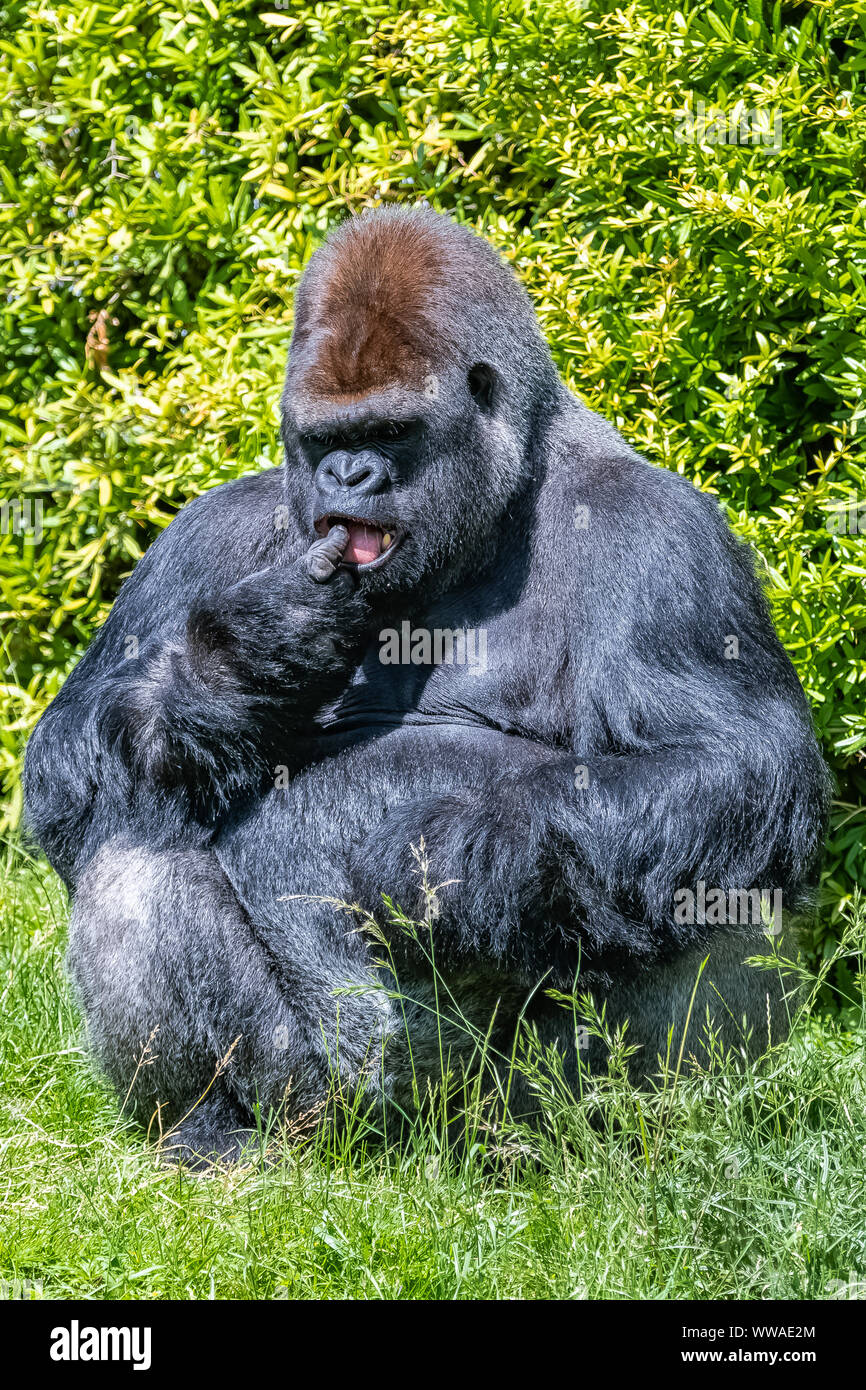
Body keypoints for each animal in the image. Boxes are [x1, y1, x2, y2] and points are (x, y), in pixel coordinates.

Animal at [23, 205, 828, 1162]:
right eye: (327, 439)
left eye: (392, 432)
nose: (347, 476)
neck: (503, 500)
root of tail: (407, 1152)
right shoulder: (205, 531)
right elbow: (67, 765)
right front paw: (233, 672)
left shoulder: (666, 534)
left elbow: (729, 759)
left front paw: (453, 858)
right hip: (323, 1105)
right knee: (133, 844)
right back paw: (209, 1132)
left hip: (503, 1109)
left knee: (712, 863)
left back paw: (639, 1140)